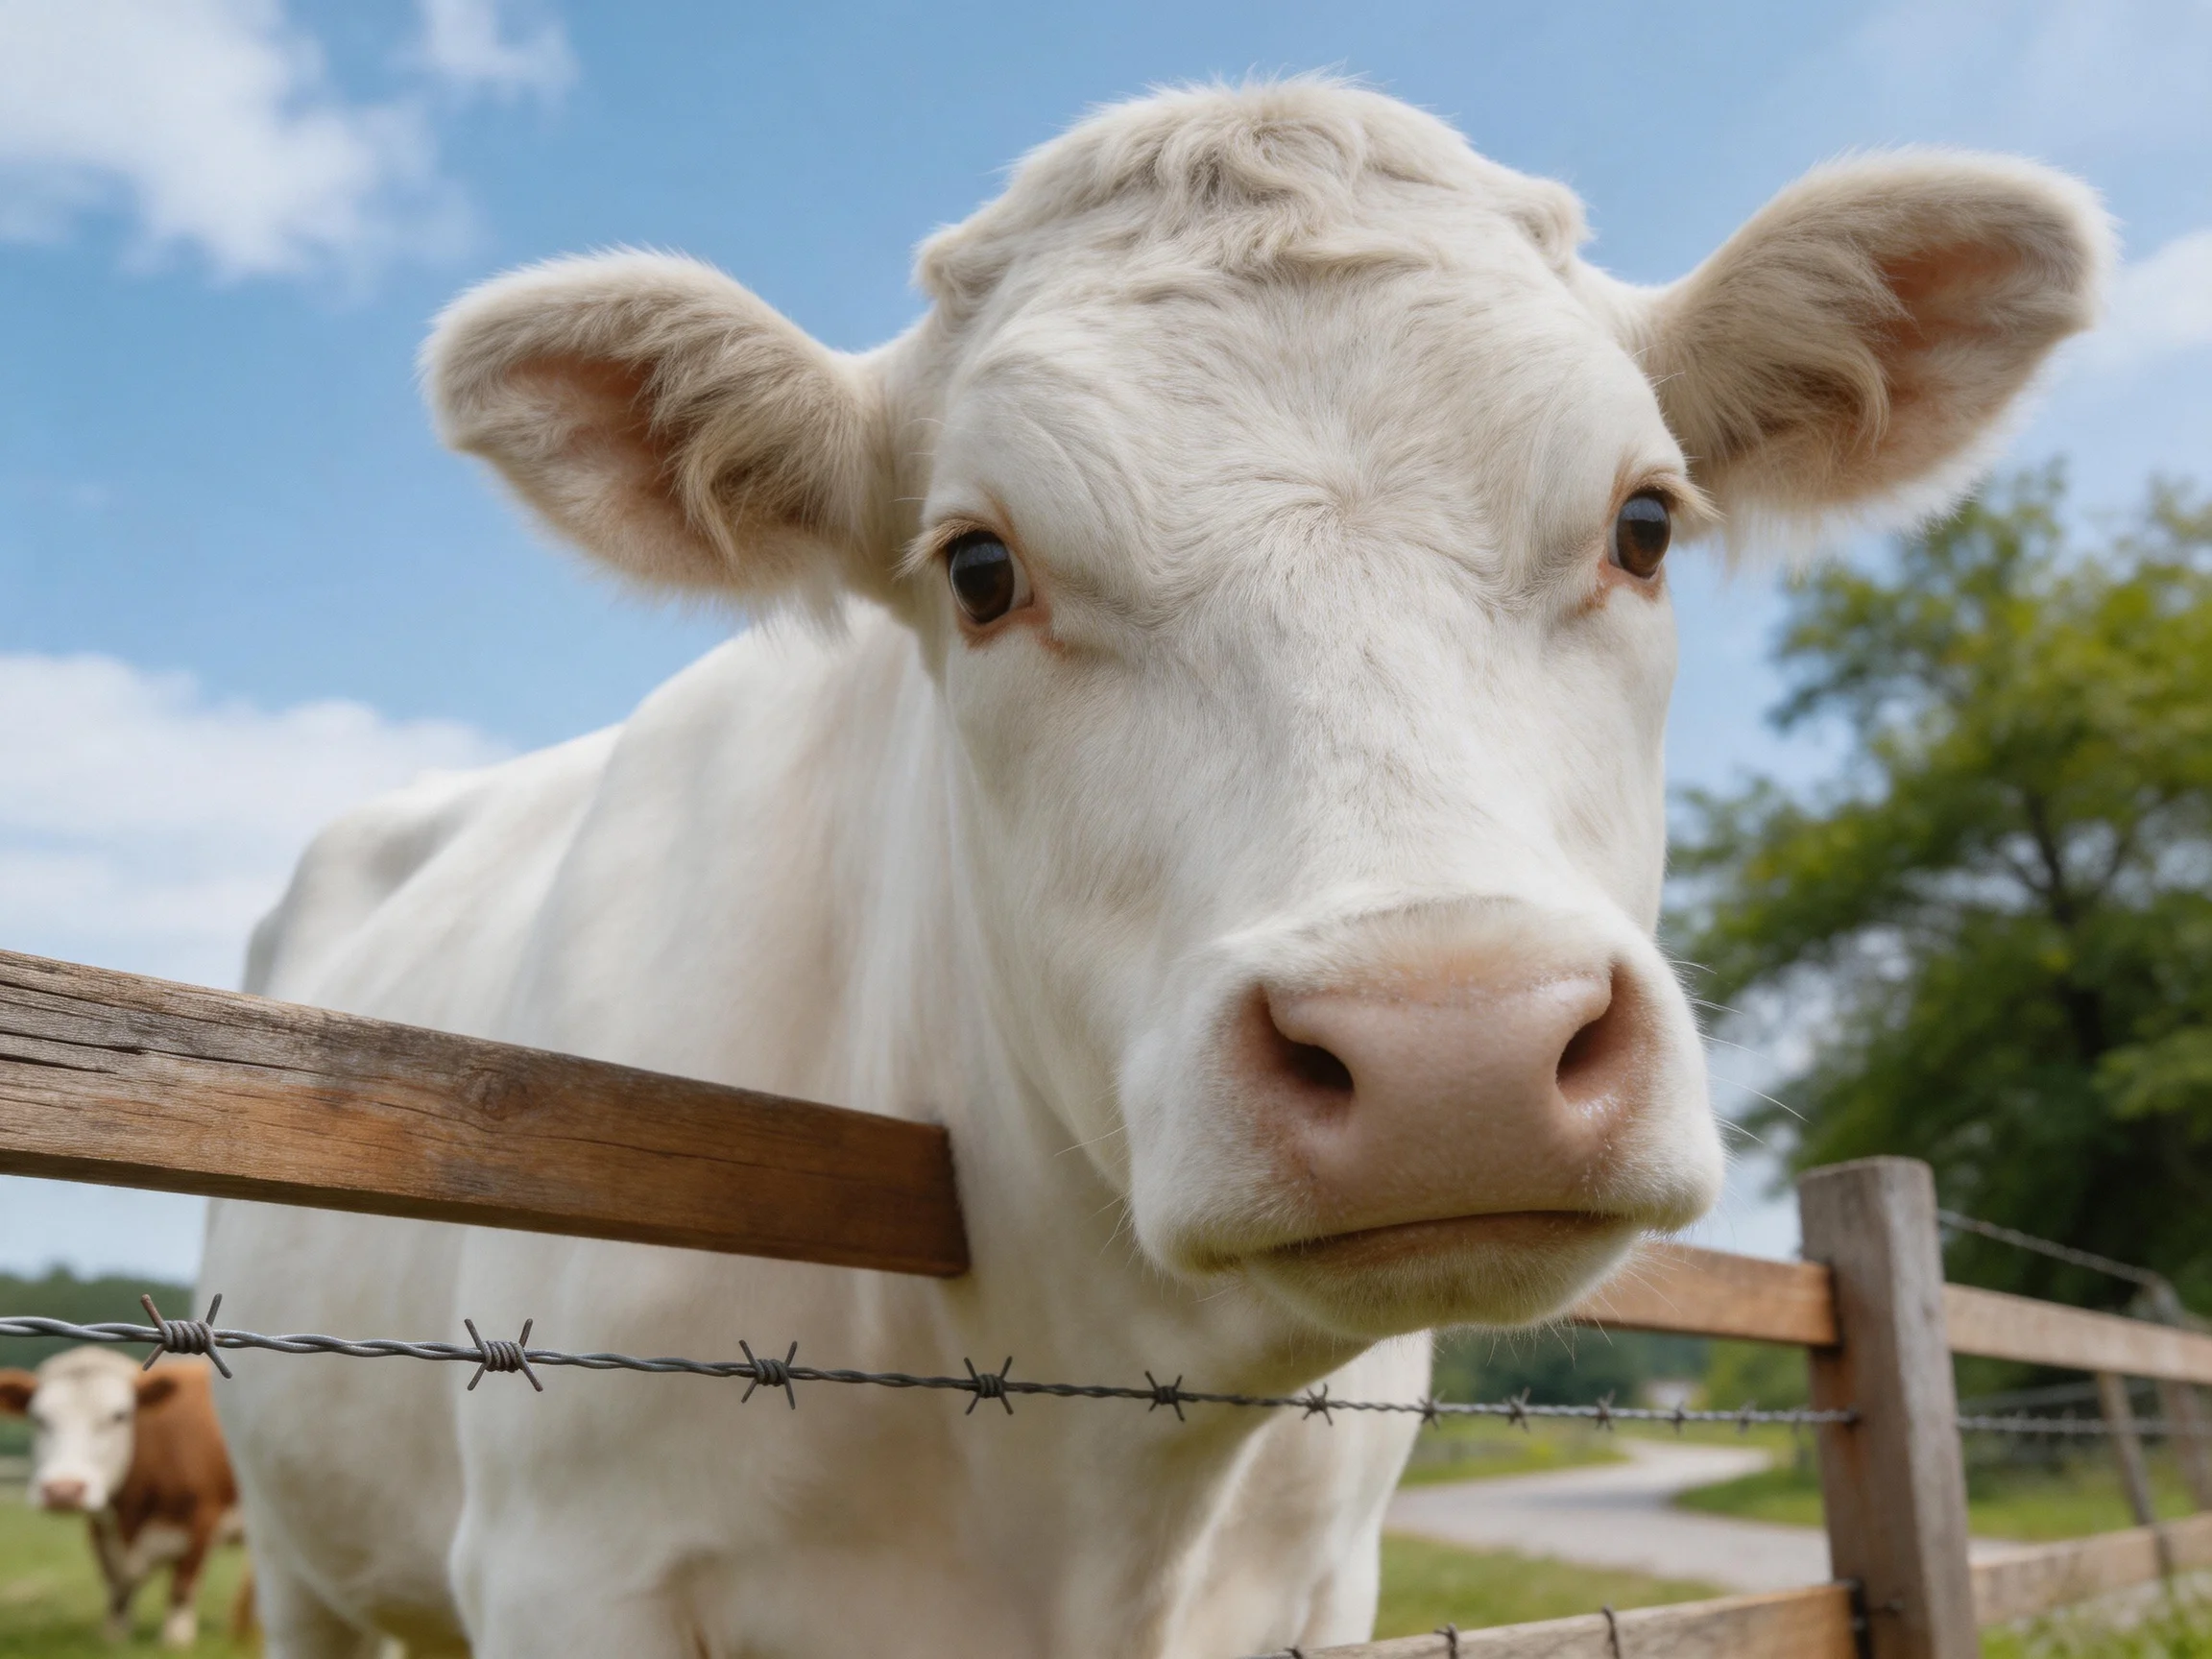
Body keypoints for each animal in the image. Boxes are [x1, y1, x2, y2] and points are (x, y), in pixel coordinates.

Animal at [0, 1348, 246, 1647]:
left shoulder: (203, 1519)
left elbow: (182, 1586)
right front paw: (114, 1636)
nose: (64, 1490)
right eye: (38, 1418)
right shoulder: (103, 1530)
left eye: (119, 1415)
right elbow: (117, 1587)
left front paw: (175, 1640)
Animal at [198, 81, 2106, 1659]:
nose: (1454, 1050)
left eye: (1643, 523)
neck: (1089, 1456)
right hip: (298, 1551)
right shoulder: (566, 1568)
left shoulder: (1322, 1586)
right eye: (978, 567)